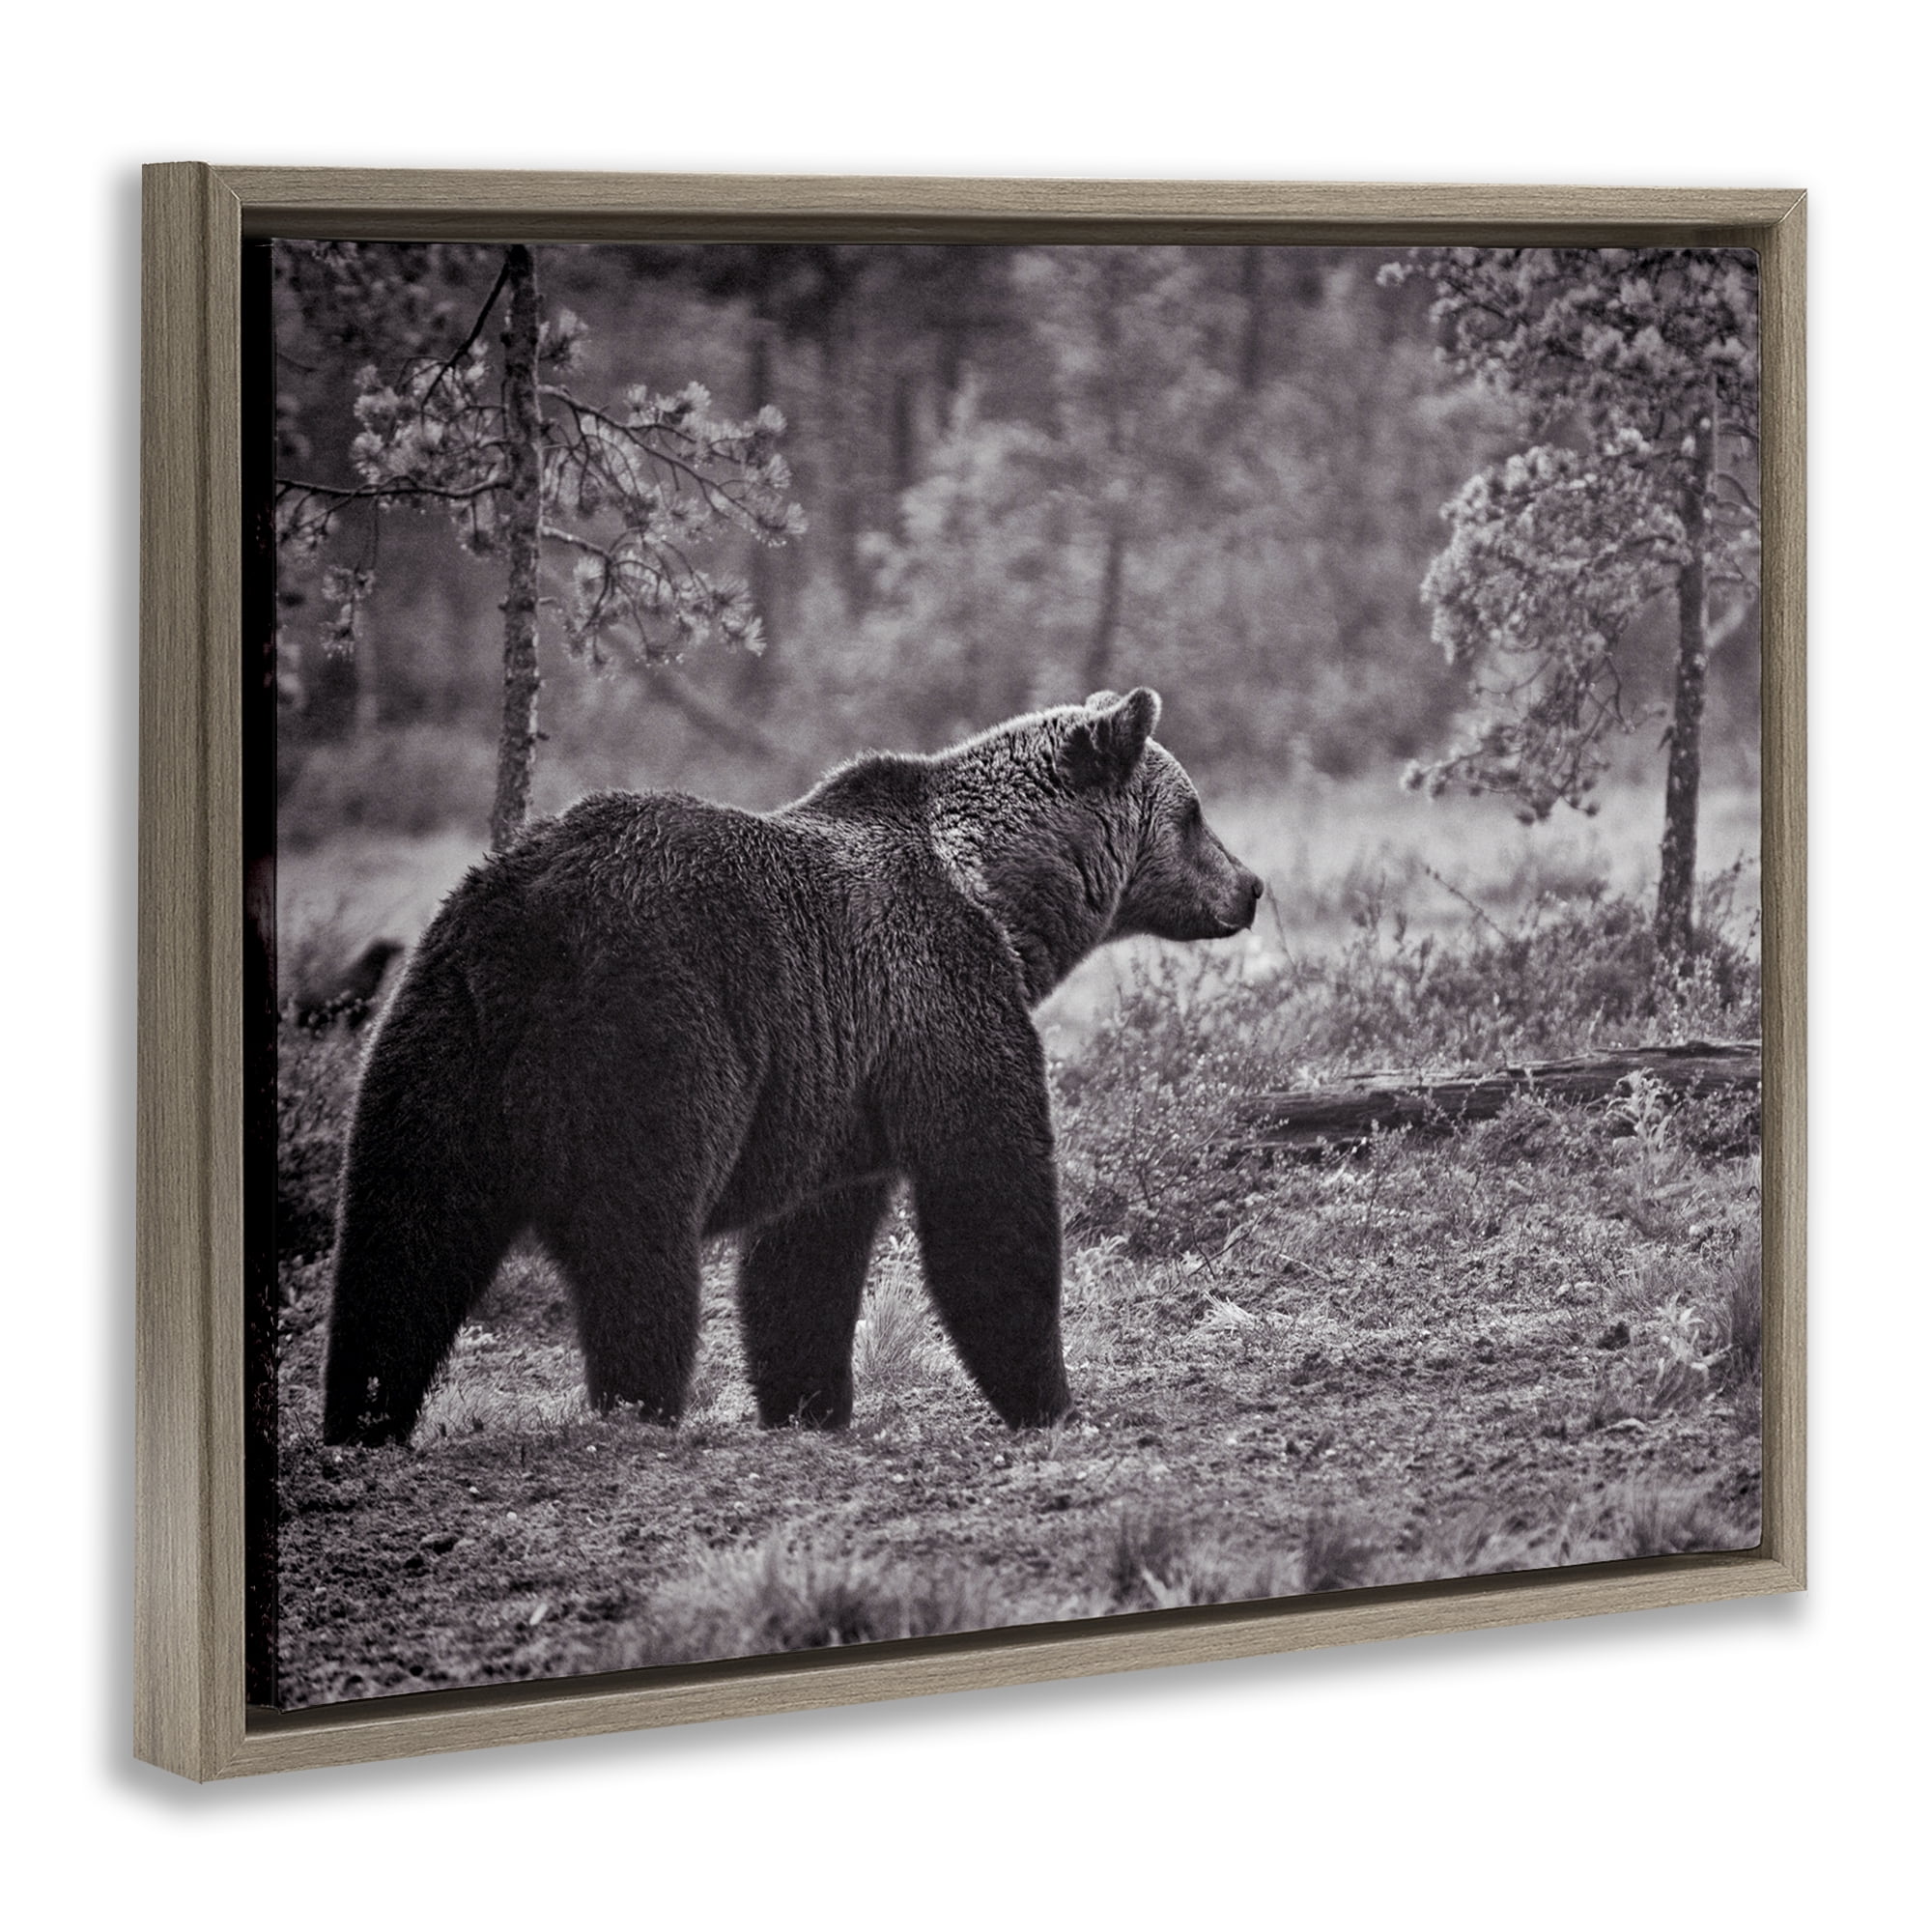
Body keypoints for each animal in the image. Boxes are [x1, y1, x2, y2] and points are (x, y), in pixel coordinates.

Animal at [321, 687, 1262, 1447]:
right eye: (1194, 813)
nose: (1250, 886)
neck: (998, 897)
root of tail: (526, 925)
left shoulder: (840, 1088)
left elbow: (806, 1257)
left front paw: (810, 1403)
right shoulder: (940, 998)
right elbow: (988, 1193)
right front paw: (1052, 1401)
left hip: (437, 1038)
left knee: (401, 1237)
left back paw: (362, 1417)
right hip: (654, 1029)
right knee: (637, 1239)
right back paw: (639, 1406)